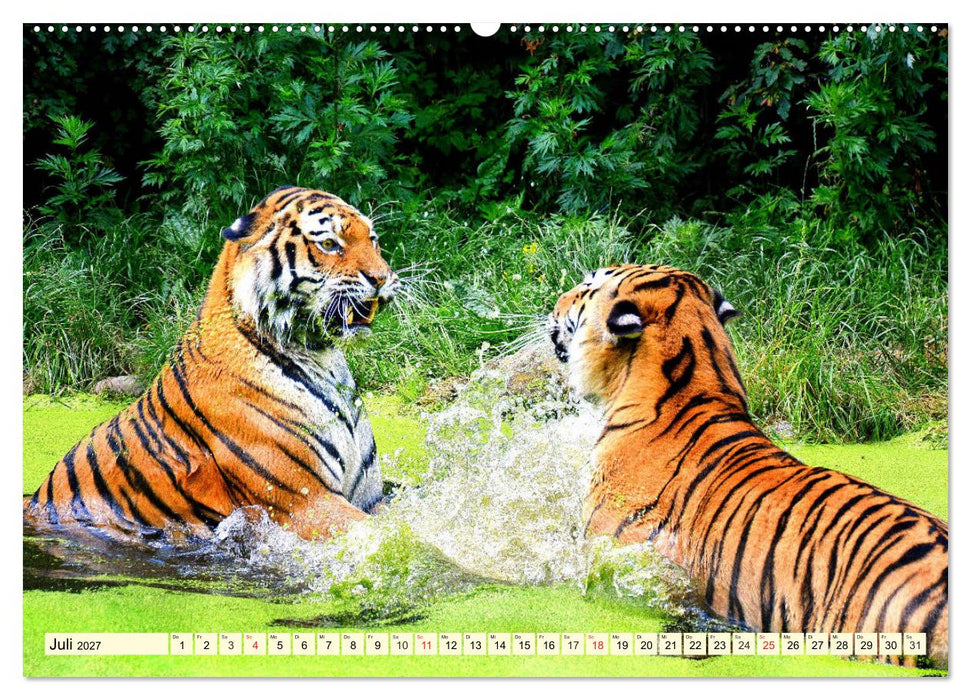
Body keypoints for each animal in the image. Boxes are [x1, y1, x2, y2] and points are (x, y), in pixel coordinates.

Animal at [24, 186, 399, 542]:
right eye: (329, 244)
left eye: (373, 239)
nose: (382, 278)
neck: (322, 358)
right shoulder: (306, 503)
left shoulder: (370, 498)